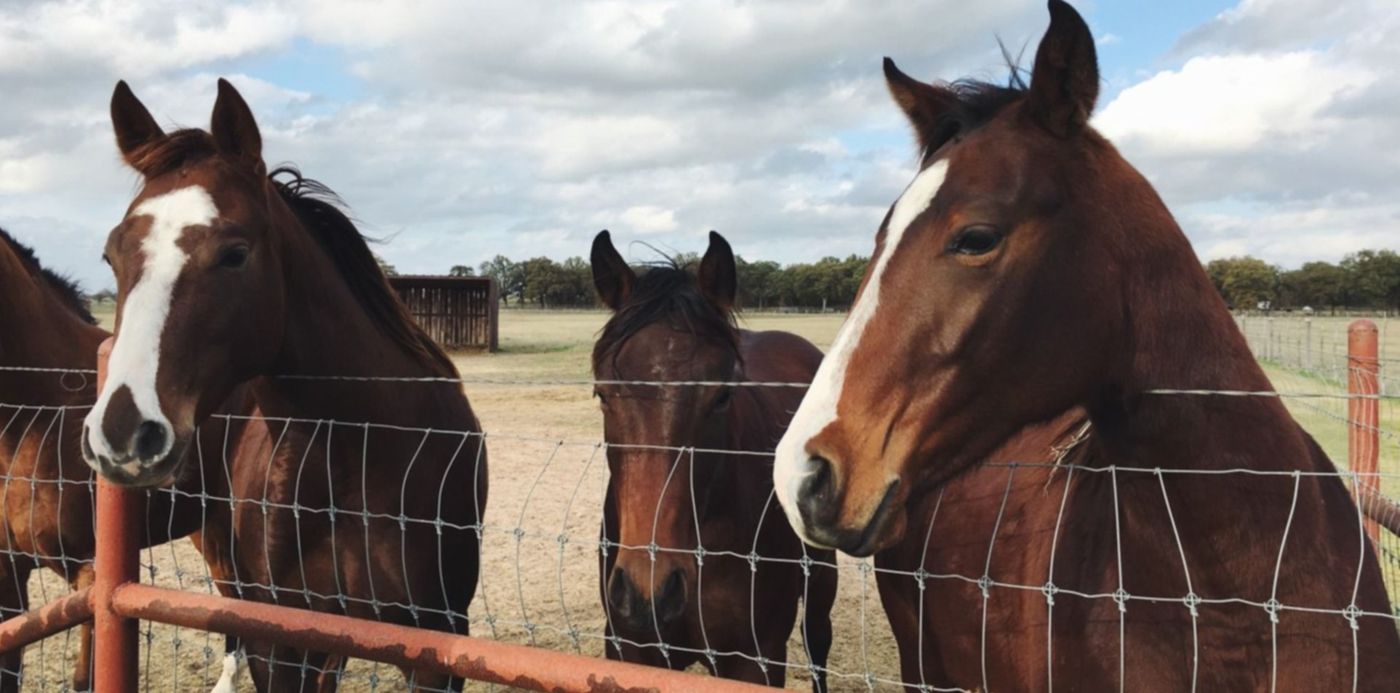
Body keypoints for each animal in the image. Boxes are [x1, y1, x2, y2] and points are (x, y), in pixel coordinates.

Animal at [83, 79, 488, 691]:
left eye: (235, 254)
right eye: (111, 255)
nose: (125, 434)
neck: (358, 453)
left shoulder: (436, 649)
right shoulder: (279, 642)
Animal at [590, 230, 838, 689]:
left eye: (722, 396)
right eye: (603, 395)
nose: (648, 590)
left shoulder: (756, 661)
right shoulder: (629, 649)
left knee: (818, 645)